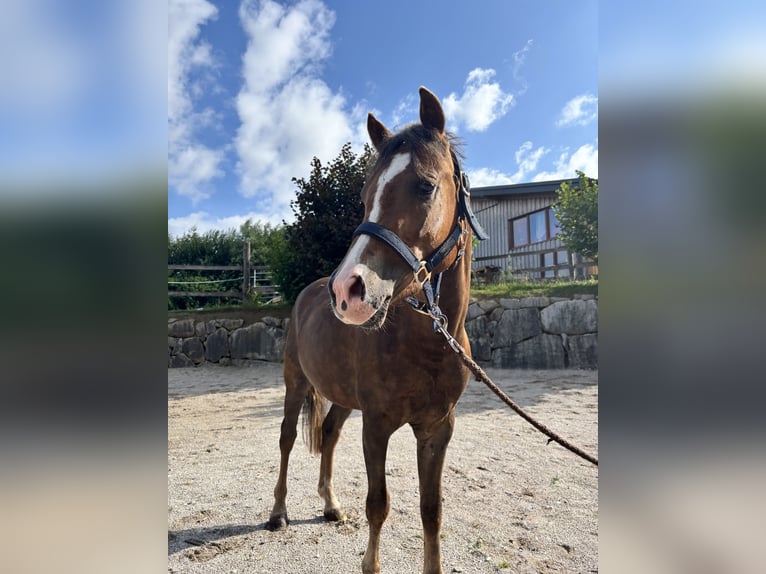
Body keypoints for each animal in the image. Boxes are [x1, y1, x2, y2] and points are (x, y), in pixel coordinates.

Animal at [266, 86, 487, 574]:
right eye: (365, 196)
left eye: (425, 185)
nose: (346, 291)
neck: (426, 346)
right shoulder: (377, 425)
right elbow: (378, 505)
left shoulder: (437, 429)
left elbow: (431, 509)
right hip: (295, 382)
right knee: (288, 439)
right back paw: (277, 513)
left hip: (342, 398)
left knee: (329, 434)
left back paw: (330, 505)